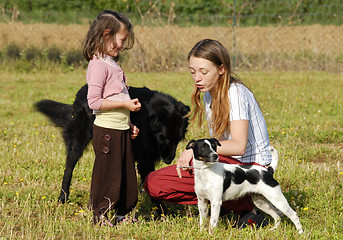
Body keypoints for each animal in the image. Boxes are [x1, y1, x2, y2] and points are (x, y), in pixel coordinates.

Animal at [36, 84, 189, 202]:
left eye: (178, 139)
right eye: (163, 138)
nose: (169, 160)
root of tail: (83, 89)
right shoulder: (145, 158)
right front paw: (161, 212)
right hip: (78, 142)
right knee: (69, 168)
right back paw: (63, 197)